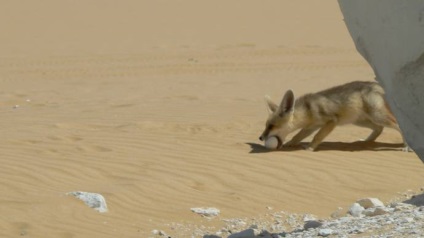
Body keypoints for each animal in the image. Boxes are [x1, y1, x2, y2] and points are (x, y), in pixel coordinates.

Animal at [256, 80, 410, 151]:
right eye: (266, 126)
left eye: (271, 126)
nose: (260, 137)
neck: (308, 109)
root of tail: (376, 84)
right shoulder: (311, 127)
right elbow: (297, 136)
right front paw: (290, 144)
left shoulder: (331, 121)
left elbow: (317, 137)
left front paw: (310, 148)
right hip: (360, 121)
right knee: (378, 129)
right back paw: (365, 142)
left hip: (377, 116)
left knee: (398, 125)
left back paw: (407, 146)